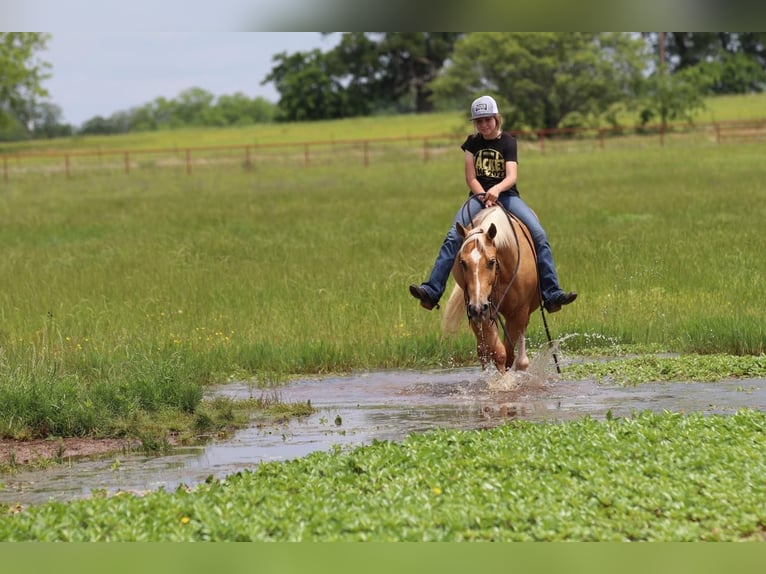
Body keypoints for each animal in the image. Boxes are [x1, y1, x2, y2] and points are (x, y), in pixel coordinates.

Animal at [440, 207, 544, 374]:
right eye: (462, 263)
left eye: (491, 261)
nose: (476, 307)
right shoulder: (483, 311)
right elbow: (498, 352)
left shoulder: (518, 313)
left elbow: (509, 354)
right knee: (483, 351)